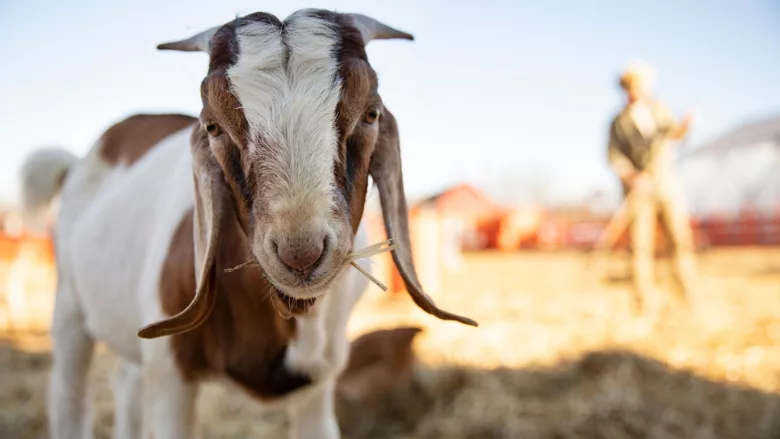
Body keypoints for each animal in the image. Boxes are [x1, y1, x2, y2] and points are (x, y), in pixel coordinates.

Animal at [20, 9, 476, 439]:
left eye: (370, 114)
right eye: (213, 126)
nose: (300, 255)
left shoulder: (320, 380)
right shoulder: (171, 375)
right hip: (70, 307)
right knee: (69, 396)